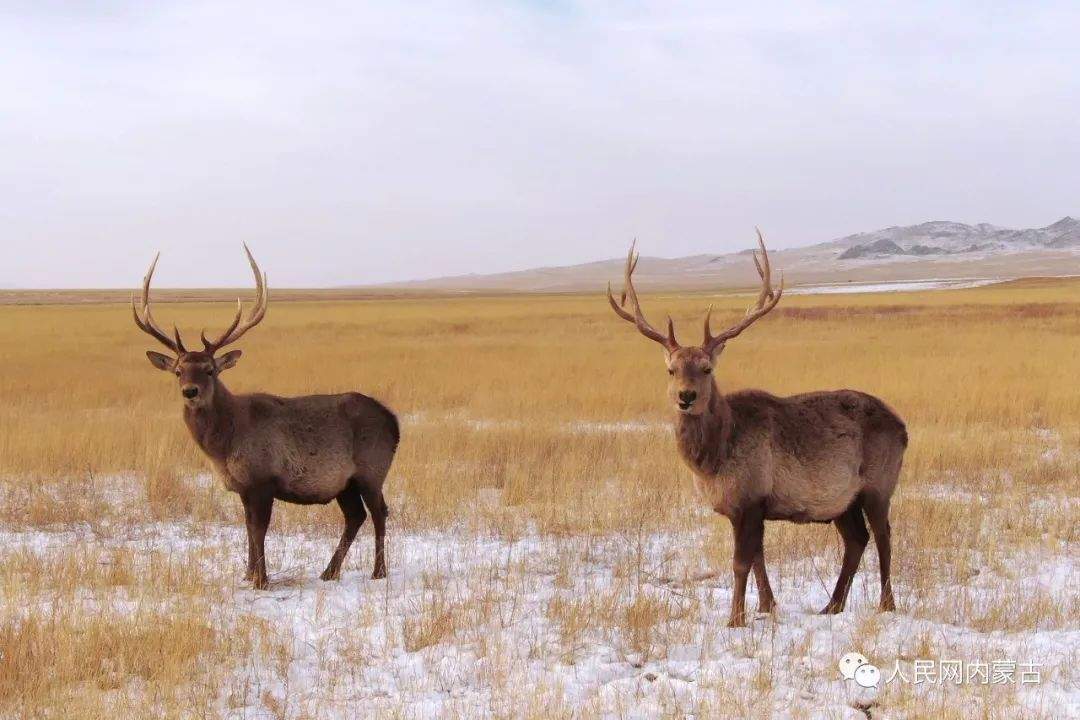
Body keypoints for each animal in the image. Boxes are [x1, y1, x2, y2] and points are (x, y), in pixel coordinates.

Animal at [132, 246, 399, 589]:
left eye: (209, 369)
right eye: (178, 371)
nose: (190, 391)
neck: (225, 445)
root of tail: (395, 422)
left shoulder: (264, 479)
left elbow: (259, 529)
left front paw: (262, 578)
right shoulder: (243, 487)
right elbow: (247, 526)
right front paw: (248, 574)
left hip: (372, 469)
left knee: (379, 512)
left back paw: (379, 571)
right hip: (345, 482)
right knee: (355, 516)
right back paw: (329, 572)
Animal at [607, 231, 906, 627]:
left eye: (706, 369)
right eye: (671, 369)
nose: (686, 396)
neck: (713, 461)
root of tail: (903, 428)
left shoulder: (750, 498)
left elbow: (740, 563)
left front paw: (735, 618)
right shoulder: (749, 506)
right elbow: (759, 558)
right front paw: (767, 605)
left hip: (878, 484)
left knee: (884, 535)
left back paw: (887, 603)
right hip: (843, 500)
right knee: (857, 539)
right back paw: (833, 605)